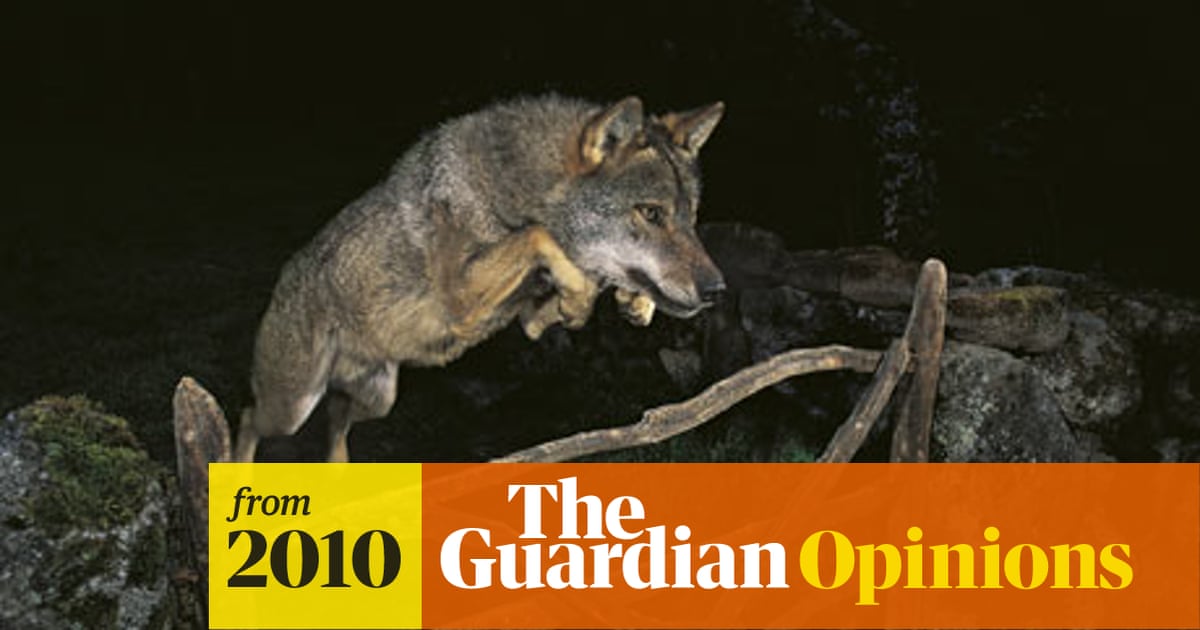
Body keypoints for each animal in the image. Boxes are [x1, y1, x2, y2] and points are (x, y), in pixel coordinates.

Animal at [235, 94, 726, 462]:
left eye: (690, 218)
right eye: (651, 213)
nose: (716, 290)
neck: (514, 189)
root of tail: (285, 279)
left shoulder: (527, 318)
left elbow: (578, 284)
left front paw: (631, 301)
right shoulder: (462, 297)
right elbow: (538, 235)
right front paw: (583, 296)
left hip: (379, 398)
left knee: (335, 420)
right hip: (292, 408)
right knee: (248, 417)